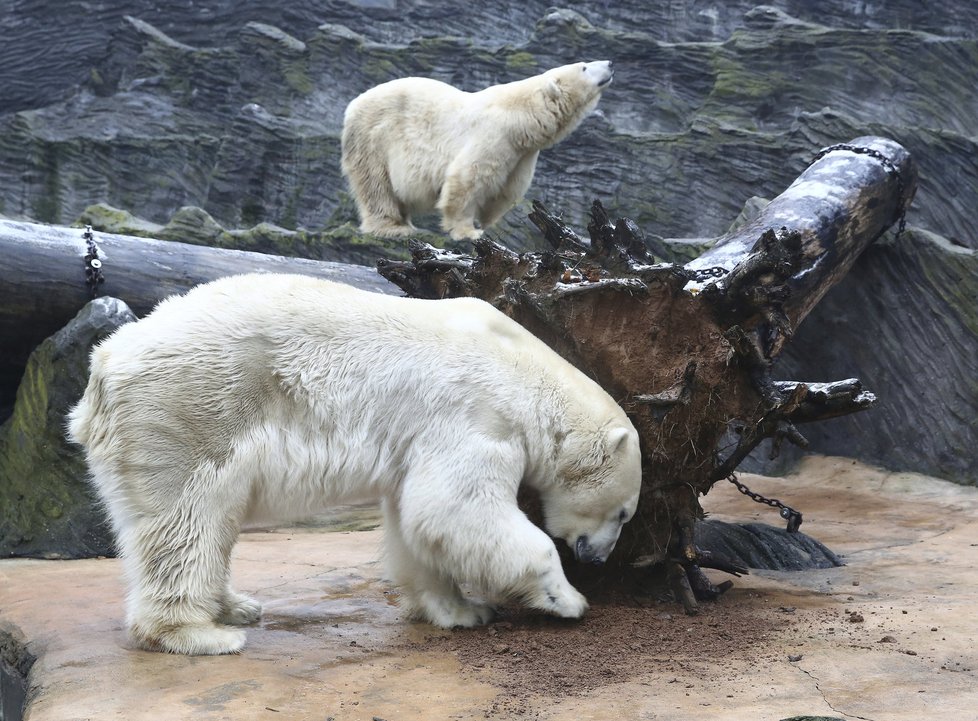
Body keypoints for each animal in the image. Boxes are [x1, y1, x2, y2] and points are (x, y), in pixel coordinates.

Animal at [68, 272, 640, 656]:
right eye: (624, 513)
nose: (597, 559)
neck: (525, 372)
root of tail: (105, 364)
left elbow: (418, 523)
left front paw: (461, 610)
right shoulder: (476, 414)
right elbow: (456, 509)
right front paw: (567, 599)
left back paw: (235, 605)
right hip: (192, 407)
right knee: (186, 516)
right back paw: (200, 633)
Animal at [338, 60, 608, 240]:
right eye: (584, 67)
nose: (610, 64)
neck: (521, 116)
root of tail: (352, 105)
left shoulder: (522, 156)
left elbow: (506, 190)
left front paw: (486, 224)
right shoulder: (495, 134)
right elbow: (468, 179)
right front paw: (468, 231)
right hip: (374, 137)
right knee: (376, 184)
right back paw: (393, 226)